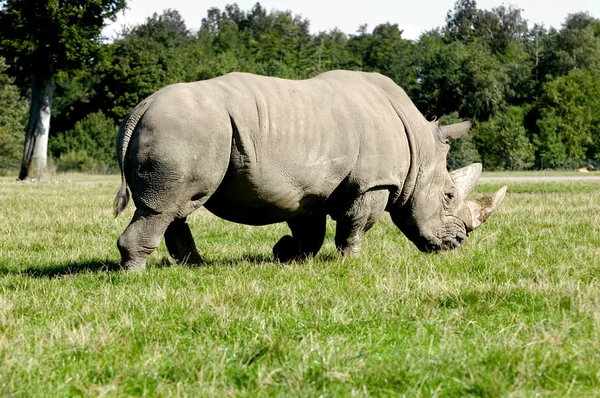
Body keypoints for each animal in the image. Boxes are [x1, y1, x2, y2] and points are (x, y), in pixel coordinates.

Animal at [112, 71, 506, 270]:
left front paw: (290, 256)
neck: (420, 148)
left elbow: (310, 230)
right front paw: (352, 263)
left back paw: (194, 268)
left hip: (187, 130)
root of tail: (139, 109)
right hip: (184, 129)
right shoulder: (373, 184)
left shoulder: (307, 189)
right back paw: (136, 274)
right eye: (449, 195)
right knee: (165, 207)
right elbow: (356, 224)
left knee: (177, 206)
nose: (457, 243)